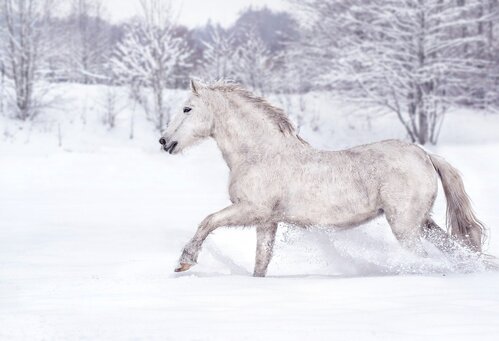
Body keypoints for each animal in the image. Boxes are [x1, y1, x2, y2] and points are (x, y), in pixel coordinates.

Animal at [160, 79, 484, 276]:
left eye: (187, 109)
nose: (164, 141)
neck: (260, 153)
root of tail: (425, 155)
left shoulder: (251, 210)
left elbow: (207, 221)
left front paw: (185, 262)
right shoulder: (267, 222)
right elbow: (261, 262)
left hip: (405, 226)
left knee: (424, 259)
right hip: (422, 224)